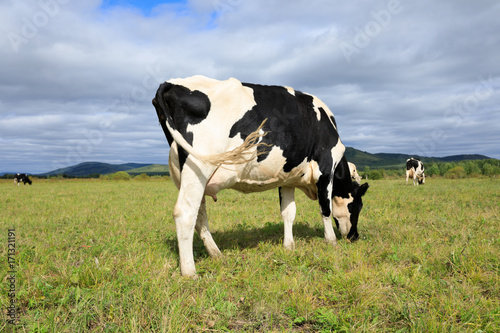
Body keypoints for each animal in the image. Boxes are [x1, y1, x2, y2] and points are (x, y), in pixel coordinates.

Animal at [154, 76, 370, 276]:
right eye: (357, 206)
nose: (355, 236)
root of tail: (170, 83)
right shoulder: (324, 169)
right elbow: (326, 208)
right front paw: (331, 241)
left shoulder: (287, 177)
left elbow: (288, 212)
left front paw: (289, 246)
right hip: (198, 164)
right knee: (185, 213)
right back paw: (190, 272)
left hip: (187, 173)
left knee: (199, 216)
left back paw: (217, 255)